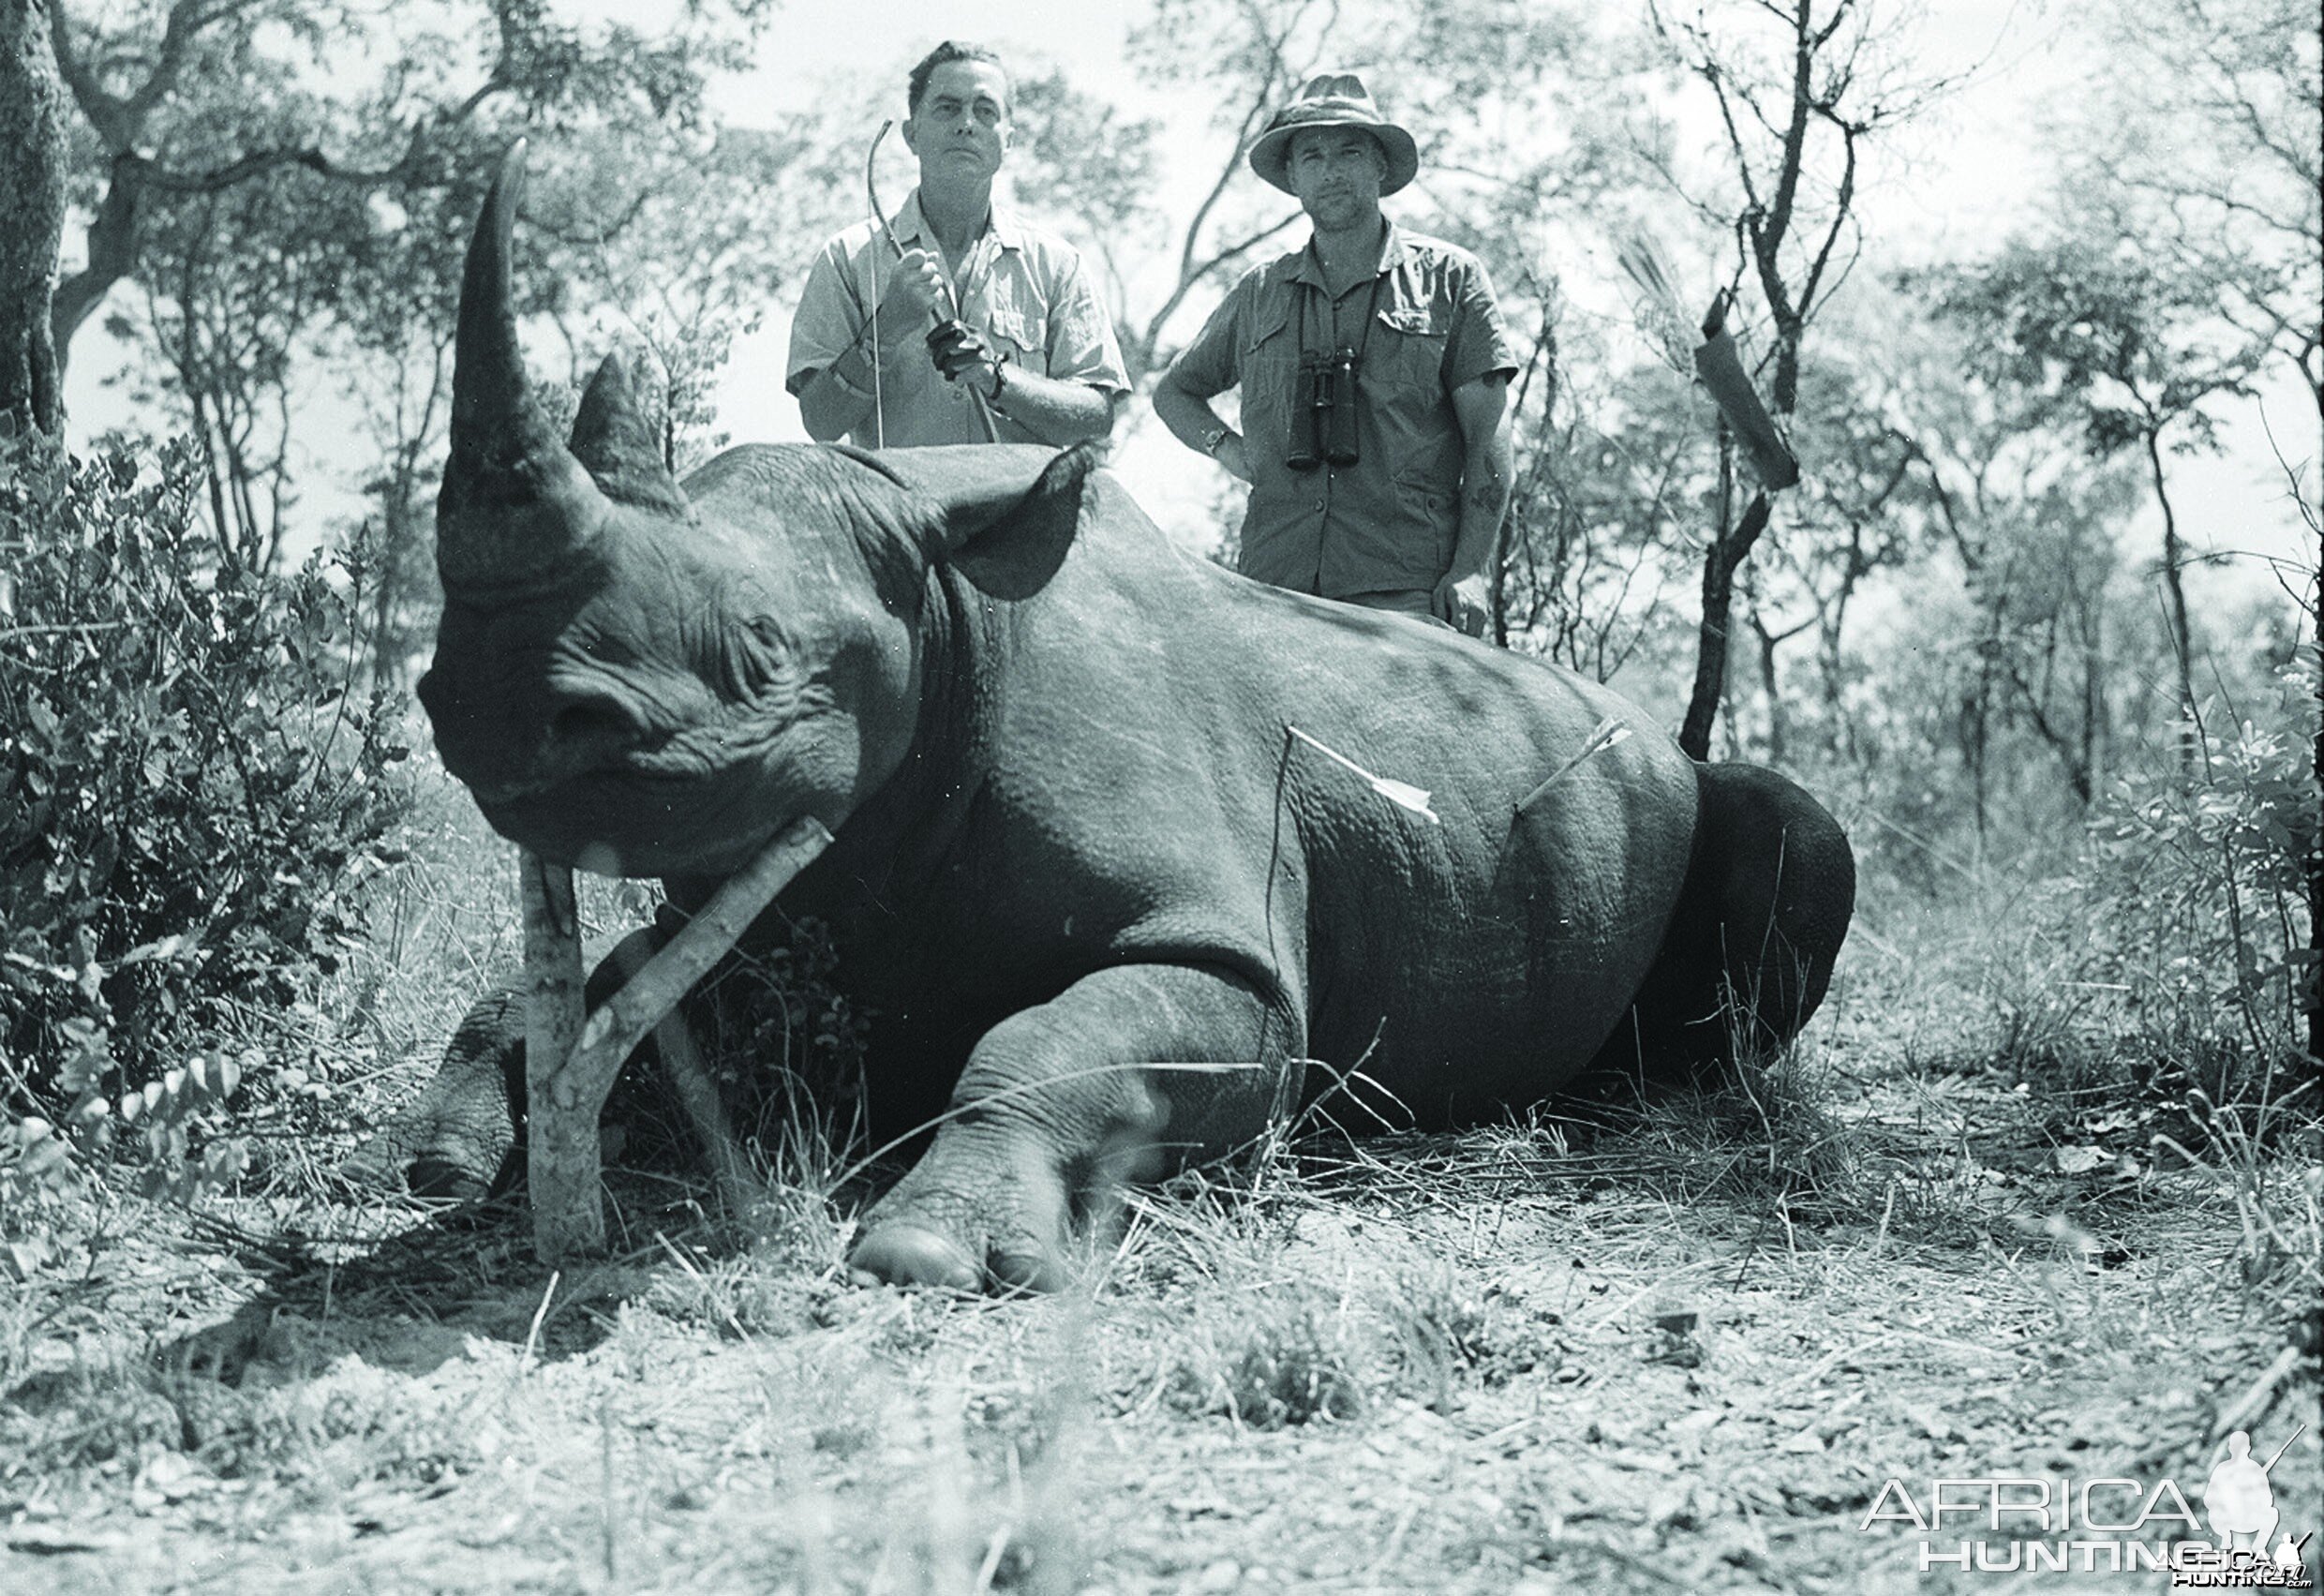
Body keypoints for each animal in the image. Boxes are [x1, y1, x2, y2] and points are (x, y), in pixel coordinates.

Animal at [385, 149, 1868, 1291]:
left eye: (761, 650)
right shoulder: (782, 899)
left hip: (1660, 782)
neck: (945, 596)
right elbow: (588, 996)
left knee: (1793, 821)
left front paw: (933, 1251)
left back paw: (1640, 1098)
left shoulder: (1230, 952)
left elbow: (1048, 1038)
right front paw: (443, 1160)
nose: (486, 710)